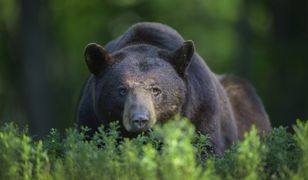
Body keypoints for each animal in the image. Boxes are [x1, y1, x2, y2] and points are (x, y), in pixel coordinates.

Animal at [76, 21, 270, 154]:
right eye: (122, 89)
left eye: (156, 89)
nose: (140, 119)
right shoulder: (91, 117)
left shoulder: (202, 109)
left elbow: (206, 148)